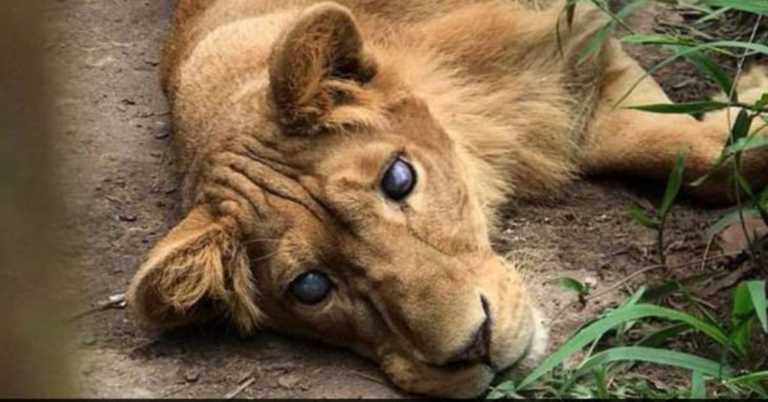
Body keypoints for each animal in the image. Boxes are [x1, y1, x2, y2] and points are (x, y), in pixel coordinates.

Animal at [126, 0, 768, 398]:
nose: (475, 347)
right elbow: (708, 159)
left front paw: (752, 86)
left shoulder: (575, 59)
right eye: (310, 288)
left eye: (398, 180)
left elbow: (716, 157)